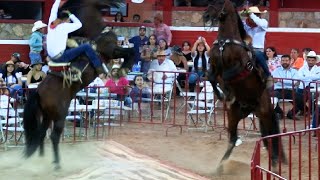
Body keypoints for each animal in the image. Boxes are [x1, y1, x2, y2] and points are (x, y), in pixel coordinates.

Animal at [22, 0, 132, 169]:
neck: (94, 34)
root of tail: (38, 92)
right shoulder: (112, 50)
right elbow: (130, 52)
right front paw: (123, 69)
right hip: (59, 115)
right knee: (54, 136)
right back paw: (57, 164)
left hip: (47, 115)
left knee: (41, 133)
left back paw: (41, 159)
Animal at [202, 0, 284, 170]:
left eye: (219, 3)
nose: (205, 16)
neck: (225, 42)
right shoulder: (214, 65)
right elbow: (211, 77)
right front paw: (222, 94)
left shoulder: (239, 68)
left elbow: (226, 77)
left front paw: (226, 91)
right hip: (234, 115)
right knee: (233, 140)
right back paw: (219, 168)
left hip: (265, 113)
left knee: (271, 136)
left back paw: (273, 162)